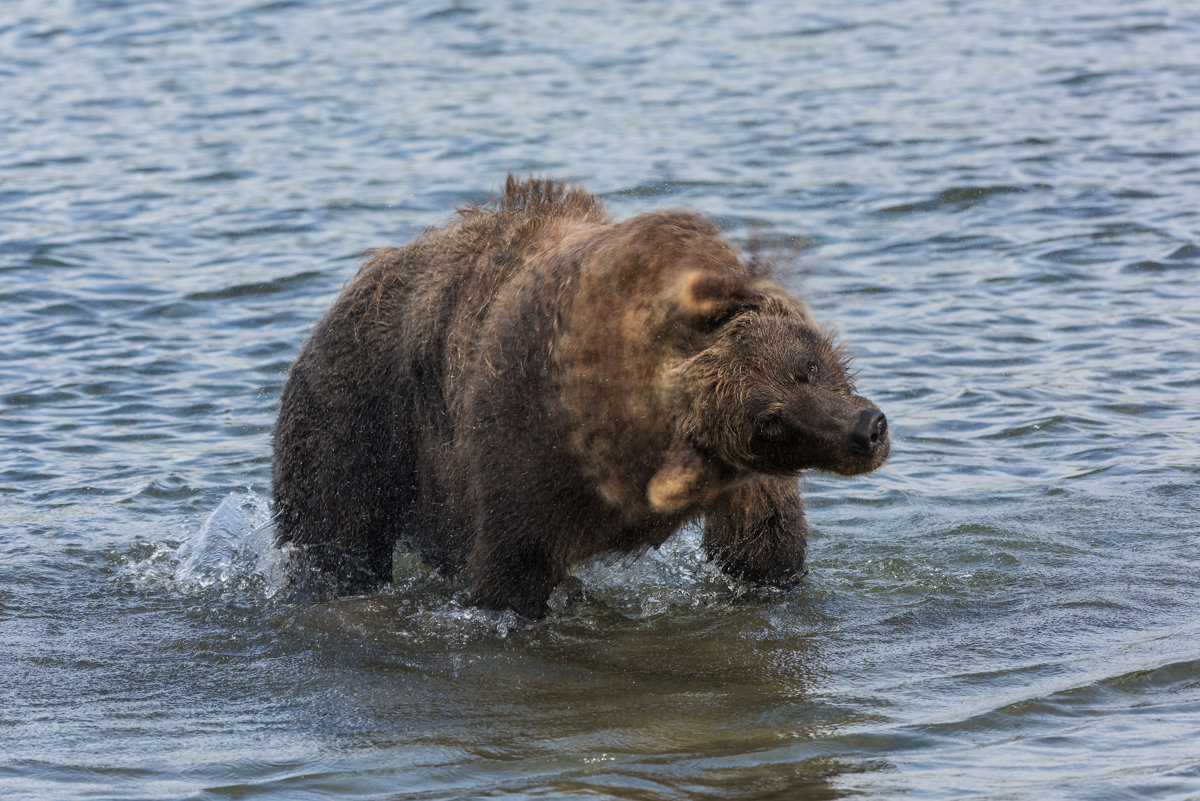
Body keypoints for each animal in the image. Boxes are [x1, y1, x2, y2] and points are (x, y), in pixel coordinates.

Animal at [274, 173, 892, 613]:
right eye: (771, 424)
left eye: (806, 367)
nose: (867, 430)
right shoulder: (519, 456)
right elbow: (510, 573)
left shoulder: (741, 479)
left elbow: (765, 546)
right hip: (358, 421)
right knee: (335, 536)